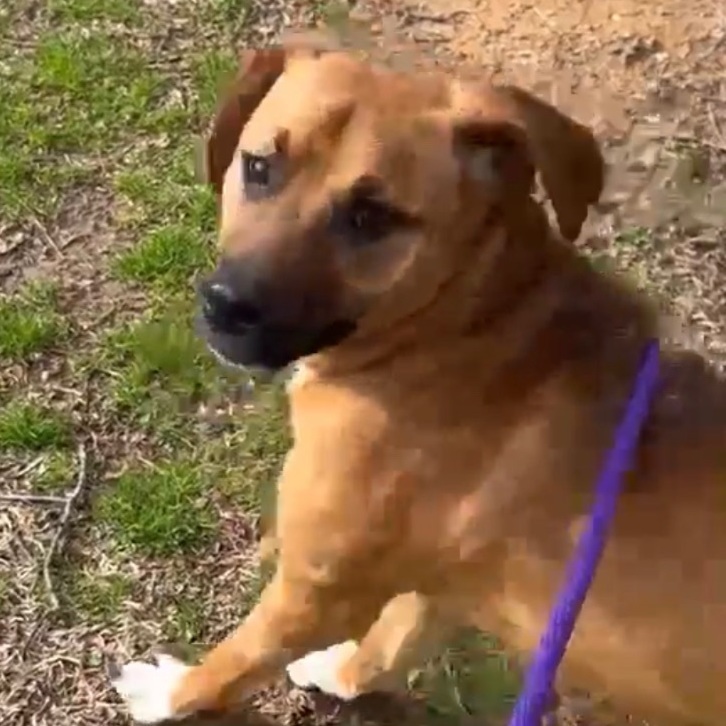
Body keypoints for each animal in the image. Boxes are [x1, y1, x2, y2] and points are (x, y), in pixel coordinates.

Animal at [111, 41, 726, 726]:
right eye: (260, 165)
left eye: (369, 216)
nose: (226, 304)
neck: (469, 326)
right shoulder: (444, 583)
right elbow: (389, 645)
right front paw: (338, 673)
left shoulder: (316, 592)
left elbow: (235, 660)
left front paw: (170, 695)